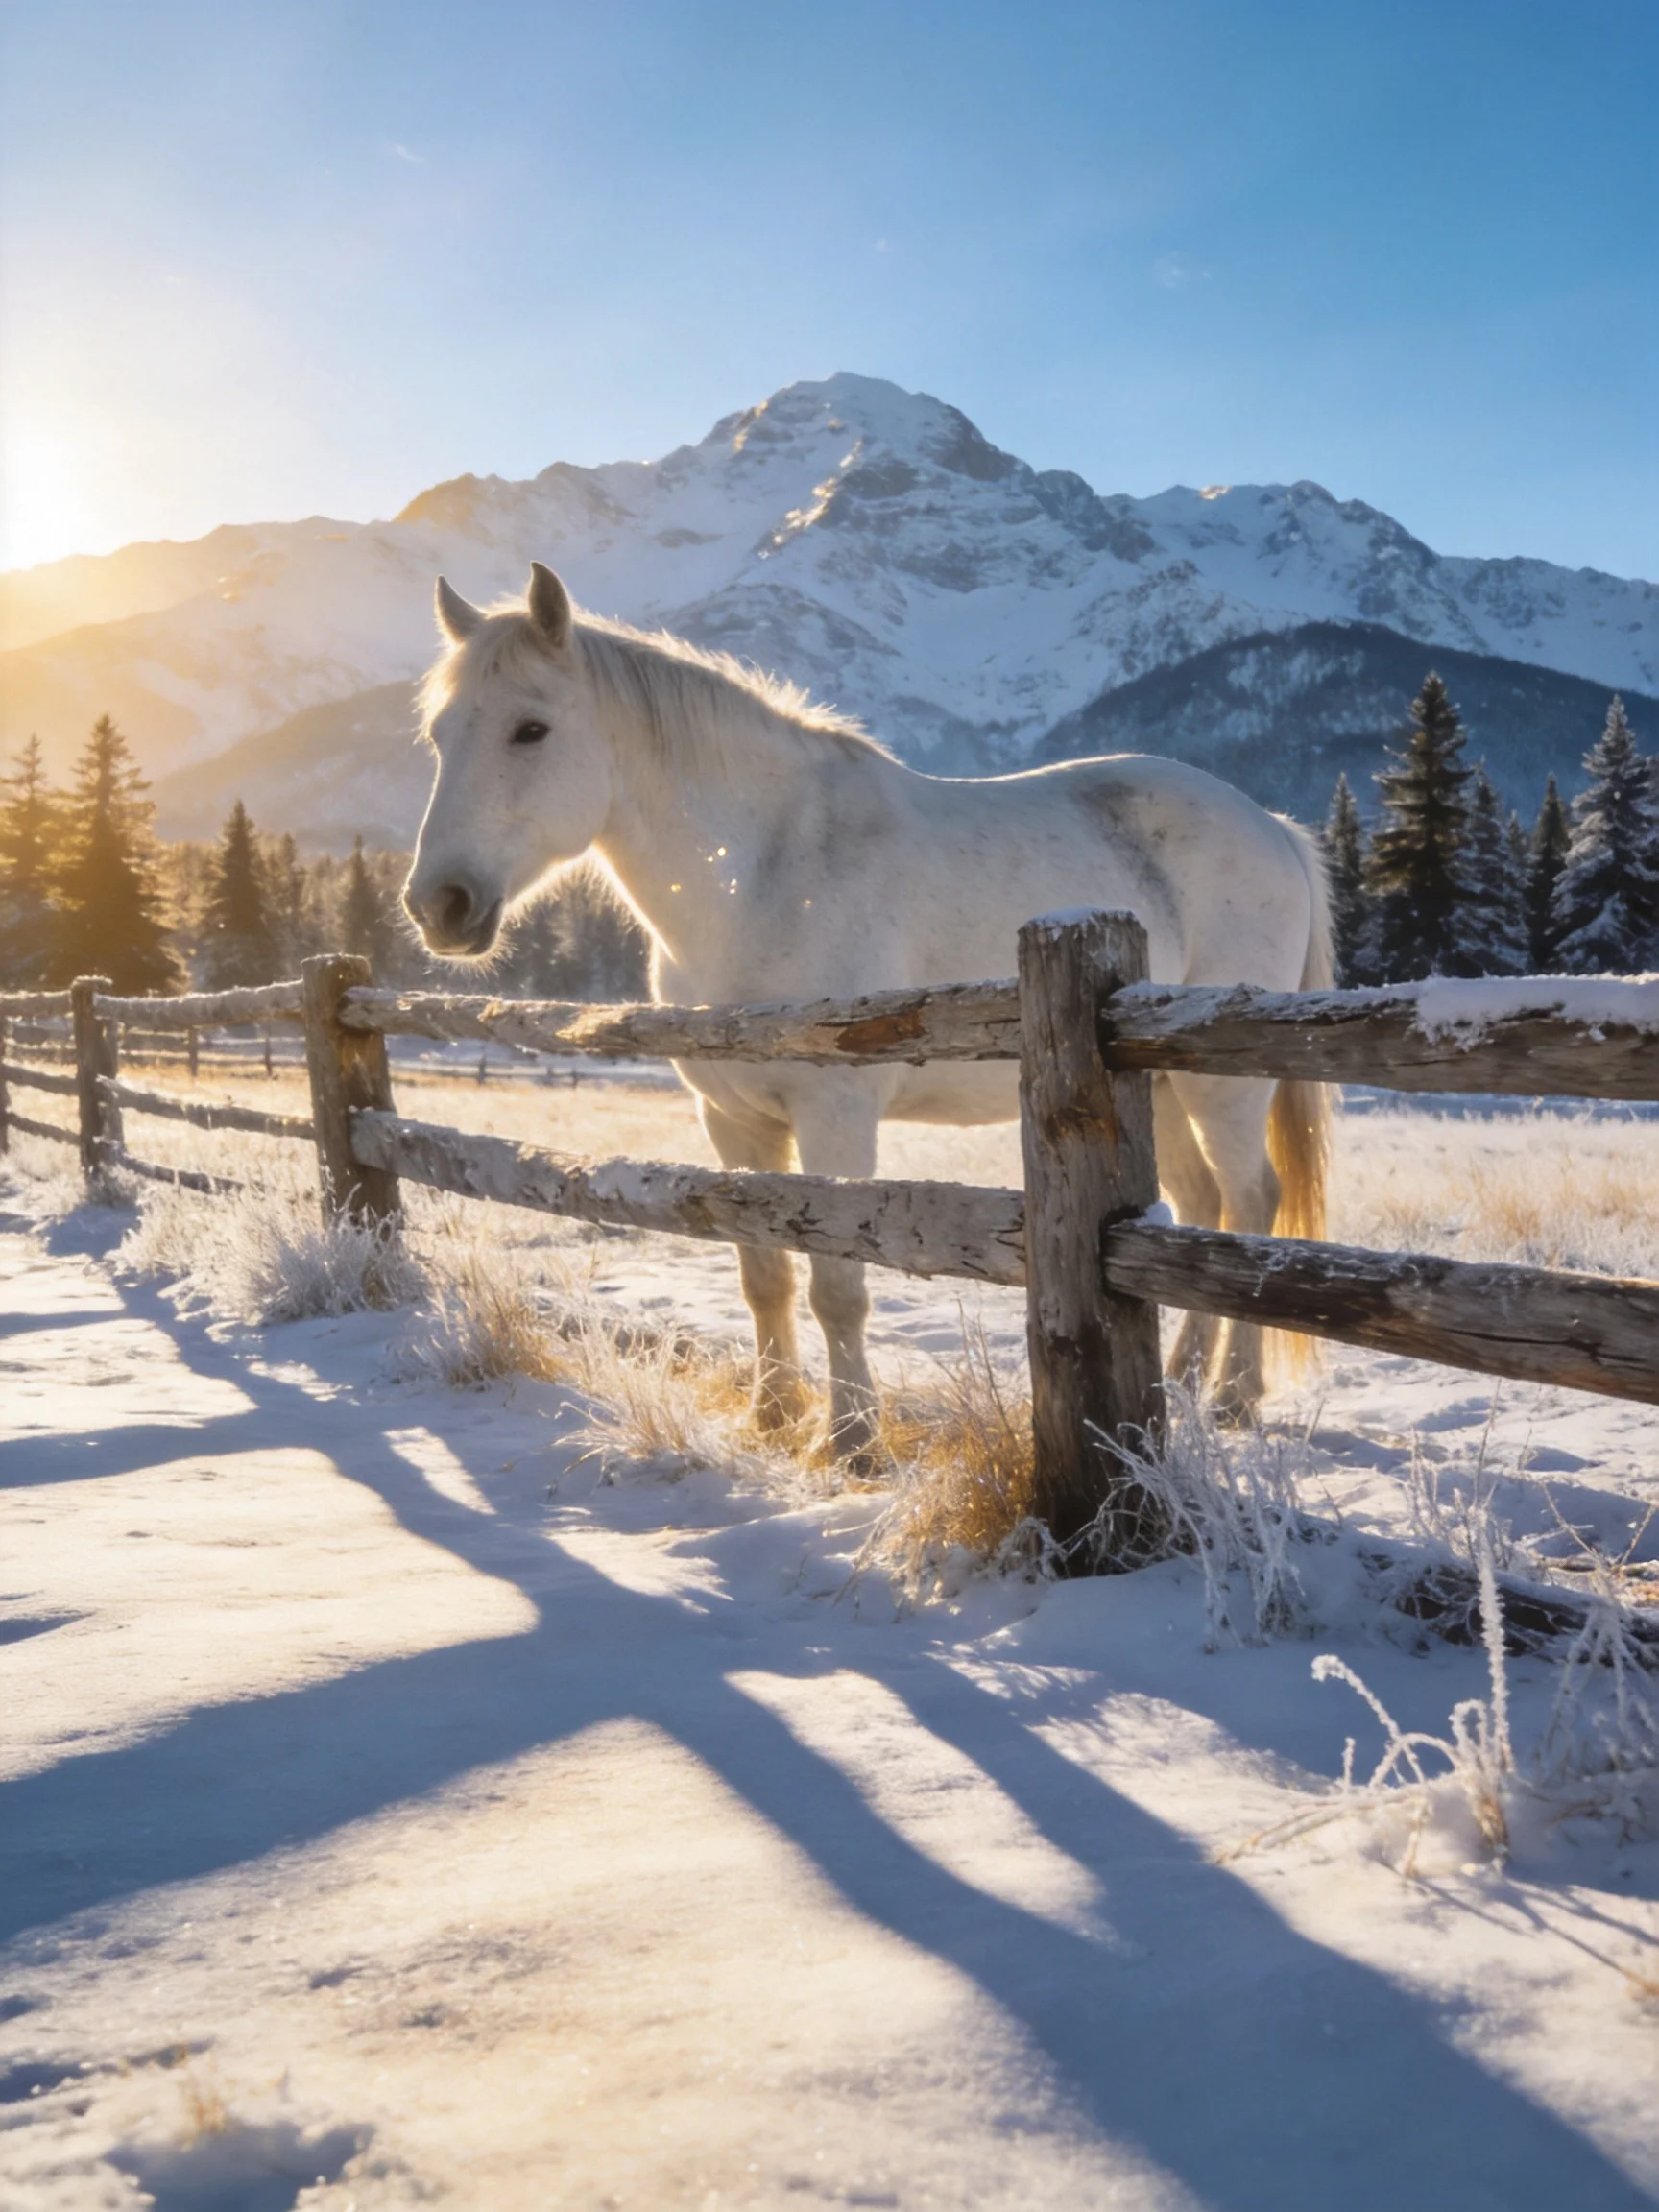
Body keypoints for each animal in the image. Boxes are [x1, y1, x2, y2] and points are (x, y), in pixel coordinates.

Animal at [403, 563, 1332, 1457]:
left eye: (531, 730)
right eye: (438, 738)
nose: (437, 905)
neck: (763, 872)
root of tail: (1275, 828)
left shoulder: (836, 1116)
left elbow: (837, 1286)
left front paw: (852, 1441)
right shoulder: (732, 1120)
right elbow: (764, 1274)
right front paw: (774, 1415)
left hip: (1217, 1088)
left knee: (1251, 1202)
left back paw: (1234, 1397)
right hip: (1159, 1089)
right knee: (1198, 1214)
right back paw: (1182, 1384)